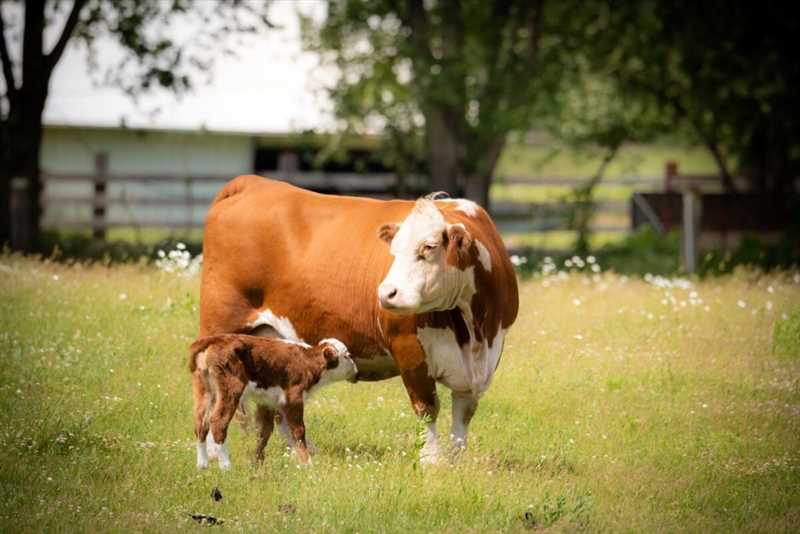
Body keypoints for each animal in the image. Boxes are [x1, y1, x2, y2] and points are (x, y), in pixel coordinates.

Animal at [189, 338, 354, 472]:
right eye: (347, 355)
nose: (355, 368)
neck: (307, 362)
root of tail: (216, 339)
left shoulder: (268, 403)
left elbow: (264, 432)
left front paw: (257, 464)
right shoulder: (293, 398)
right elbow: (298, 431)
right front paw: (307, 464)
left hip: (205, 391)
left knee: (201, 424)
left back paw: (202, 465)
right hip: (231, 388)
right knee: (218, 422)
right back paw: (226, 467)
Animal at [200, 176, 520, 464]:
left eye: (428, 247)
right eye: (393, 251)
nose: (386, 293)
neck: (474, 331)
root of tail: (253, 182)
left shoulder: (483, 360)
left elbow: (463, 414)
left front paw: (455, 462)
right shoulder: (409, 349)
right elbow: (427, 406)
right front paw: (431, 462)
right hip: (220, 328)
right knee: (212, 399)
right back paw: (215, 455)